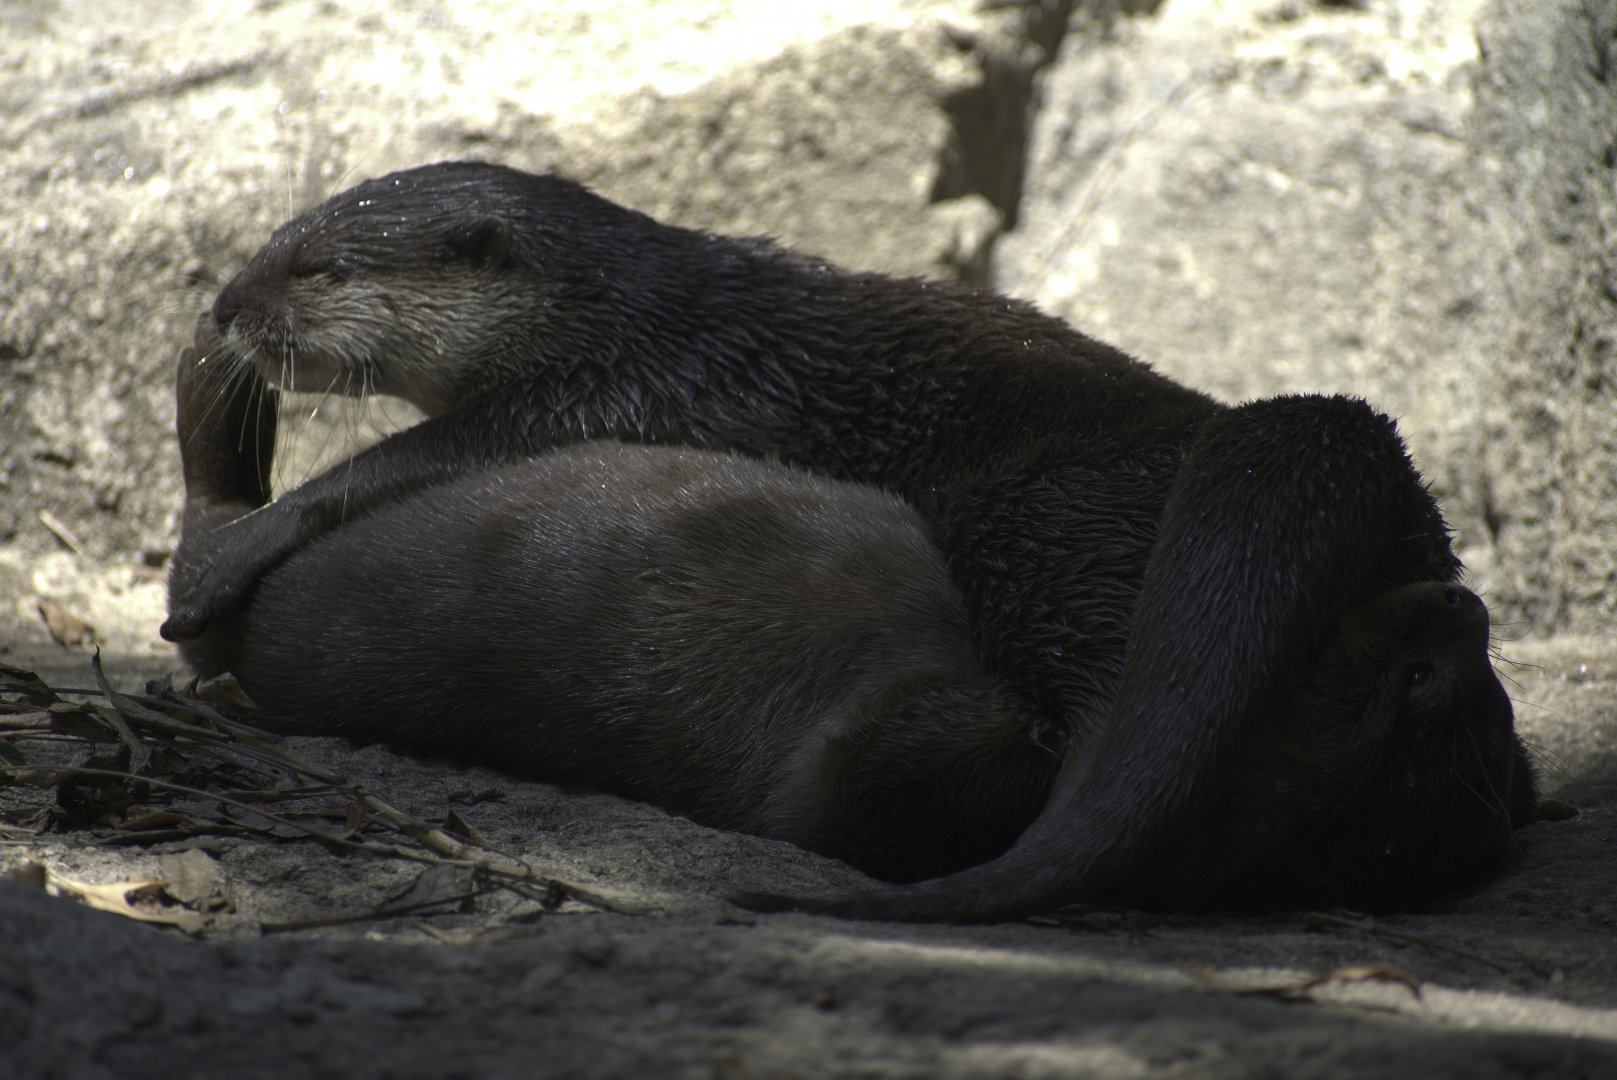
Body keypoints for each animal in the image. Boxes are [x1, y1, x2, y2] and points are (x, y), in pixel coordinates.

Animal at [164, 161, 1542, 920]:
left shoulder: (610, 397)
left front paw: (236, 554)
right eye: (277, 239)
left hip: (1056, 525)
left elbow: (399, 466)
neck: (629, 324)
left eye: (317, 266)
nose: (225, 304)